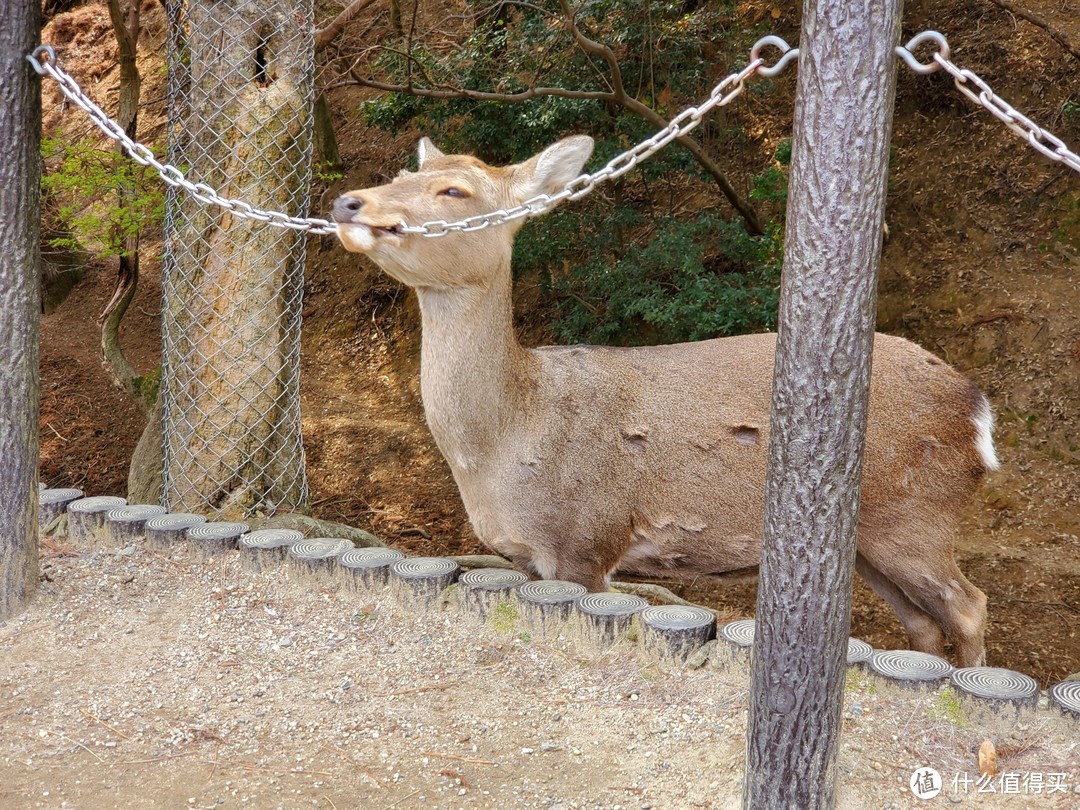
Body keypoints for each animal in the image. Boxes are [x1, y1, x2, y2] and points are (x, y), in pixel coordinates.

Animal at [328, 135, 993, 665]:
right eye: (398, 174)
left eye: (455, 190)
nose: (347, 201)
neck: (504, 444)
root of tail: (978, 411)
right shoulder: (524, 555)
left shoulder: (587, 537)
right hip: (875, 539)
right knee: (923, 623)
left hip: (917, 515)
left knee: (969, 605)